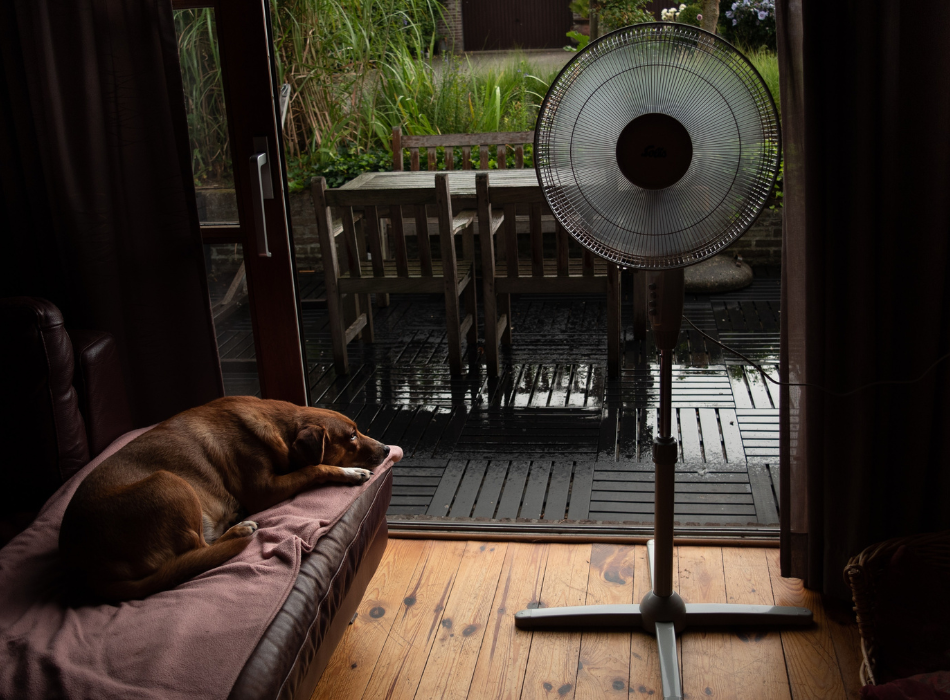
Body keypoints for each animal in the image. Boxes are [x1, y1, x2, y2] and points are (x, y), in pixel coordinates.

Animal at [59, 396, 390, 604]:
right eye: (351, 436)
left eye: (358, 429)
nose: (387, 448)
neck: (279, 427)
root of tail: (84, 567)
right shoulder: (263, 490)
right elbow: (315, 468)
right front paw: (349, 472)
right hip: (170, 483)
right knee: (199, 548)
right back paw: (239, 529)